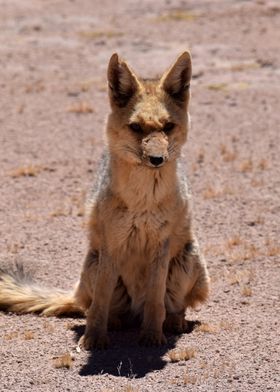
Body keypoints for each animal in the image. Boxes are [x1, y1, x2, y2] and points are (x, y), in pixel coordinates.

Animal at [0, 52, 209, 350]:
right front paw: (93, 339)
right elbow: (99, 303)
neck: (142, 200)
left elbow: (156, 299)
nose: (157, 159)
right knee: (98, 306)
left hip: (187, 260)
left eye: (168, 127)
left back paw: (172, 322)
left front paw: (152, 336)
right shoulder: (112, 243)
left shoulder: (161, 245)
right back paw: (116, 322)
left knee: (174, 306)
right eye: (136, 127)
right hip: (94, 264)